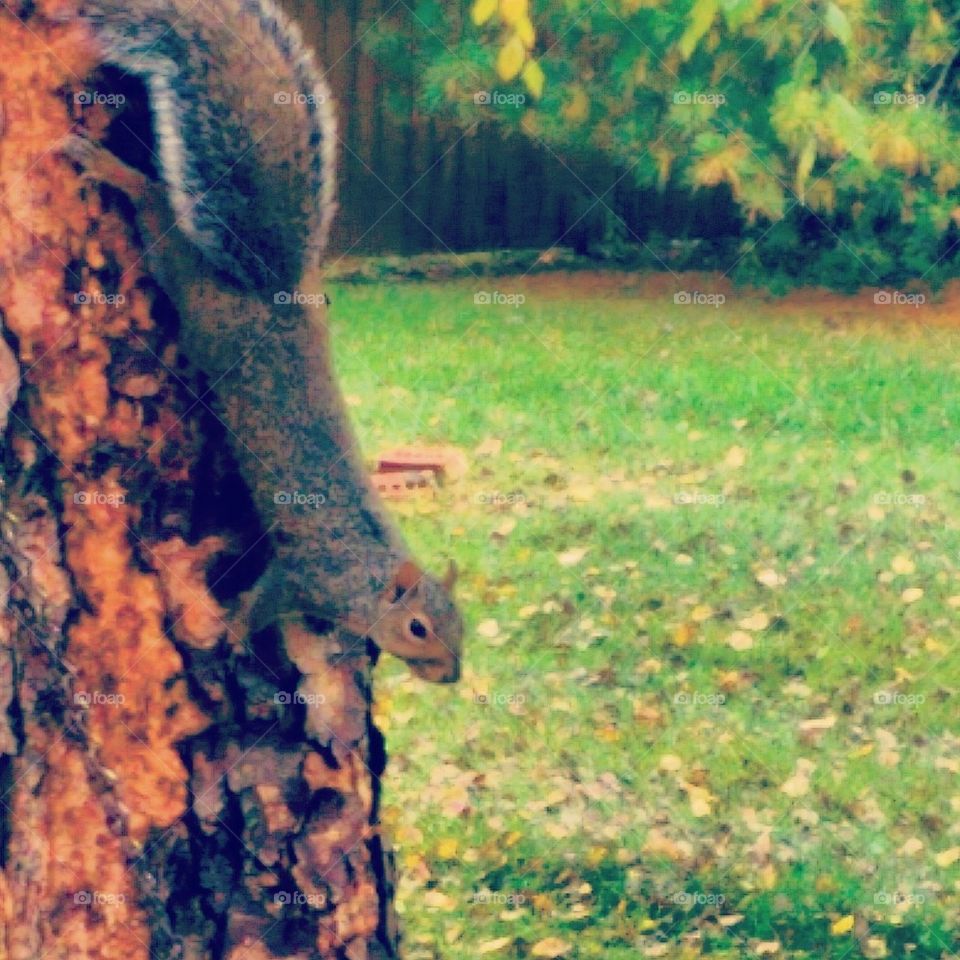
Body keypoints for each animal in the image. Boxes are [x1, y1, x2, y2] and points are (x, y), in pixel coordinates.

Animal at [66, 0, 463, 683]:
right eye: (418, 628)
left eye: (460, 628)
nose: (452, 676)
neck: (366, 576)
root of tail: (271, 290)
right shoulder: (306, 576)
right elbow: (262, 602)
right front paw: (236, 636)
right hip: (194, 294)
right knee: (155, 211)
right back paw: (111, 169)